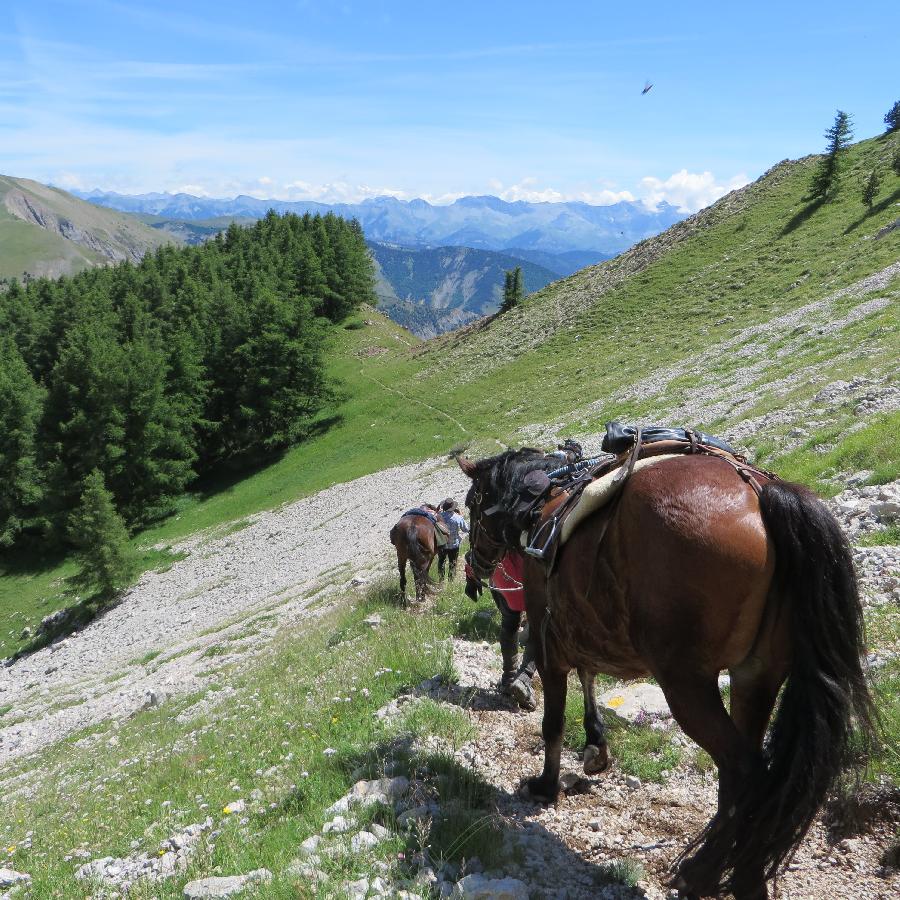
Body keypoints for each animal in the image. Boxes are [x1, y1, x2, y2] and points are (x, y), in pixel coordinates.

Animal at [458, 444, 872, 900]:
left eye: (471, 503)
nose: (475, 563)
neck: (542, 502)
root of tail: (761, 493)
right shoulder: (581, 629)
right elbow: (589, 677)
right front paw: (596, 747)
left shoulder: (549, 642)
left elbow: (553, 722)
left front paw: (547, 787)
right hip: (756, 677)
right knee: (739, 778)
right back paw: (736, 873)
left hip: (686, 683)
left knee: (746, 772)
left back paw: (704, 873)